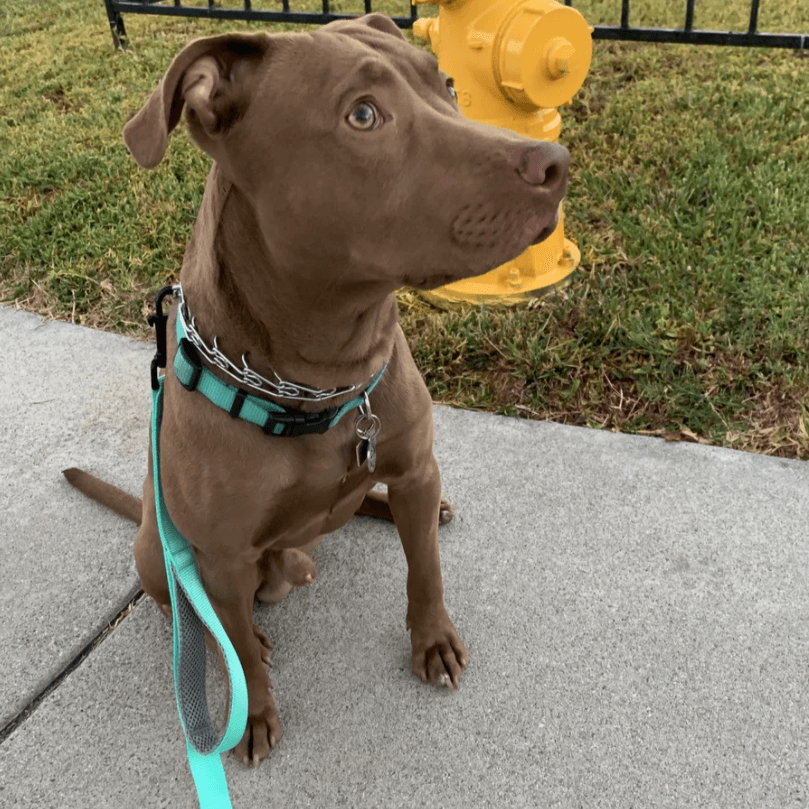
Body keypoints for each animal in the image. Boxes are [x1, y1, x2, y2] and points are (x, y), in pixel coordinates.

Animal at [64, 15, 568, 768]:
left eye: (447, 83)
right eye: (362, 115)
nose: (555, 163)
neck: (322, 376)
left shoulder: (413, 463)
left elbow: (426, 569)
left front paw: (434, 641)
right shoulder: (221, 557)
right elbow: (239, 651)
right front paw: (252, 710)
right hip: (158, 549)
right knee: (197, 617)